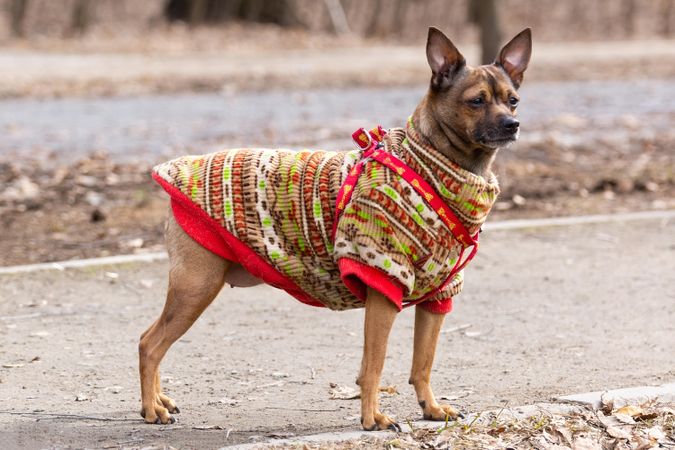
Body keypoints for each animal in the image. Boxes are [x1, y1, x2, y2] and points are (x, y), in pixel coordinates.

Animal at [140, 25, 532, 432]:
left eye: (513, 101)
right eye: (476, 101)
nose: (512, 124)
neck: (430, 166)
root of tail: (173, 171)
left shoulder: (438, 297)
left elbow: (422, 362)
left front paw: (431, 408)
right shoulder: (383, 286)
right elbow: (374, 363)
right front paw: (373, 418)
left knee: (149, 339)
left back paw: (160, 400)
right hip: (196, 288)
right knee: (149, 344)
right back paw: (153, 408)